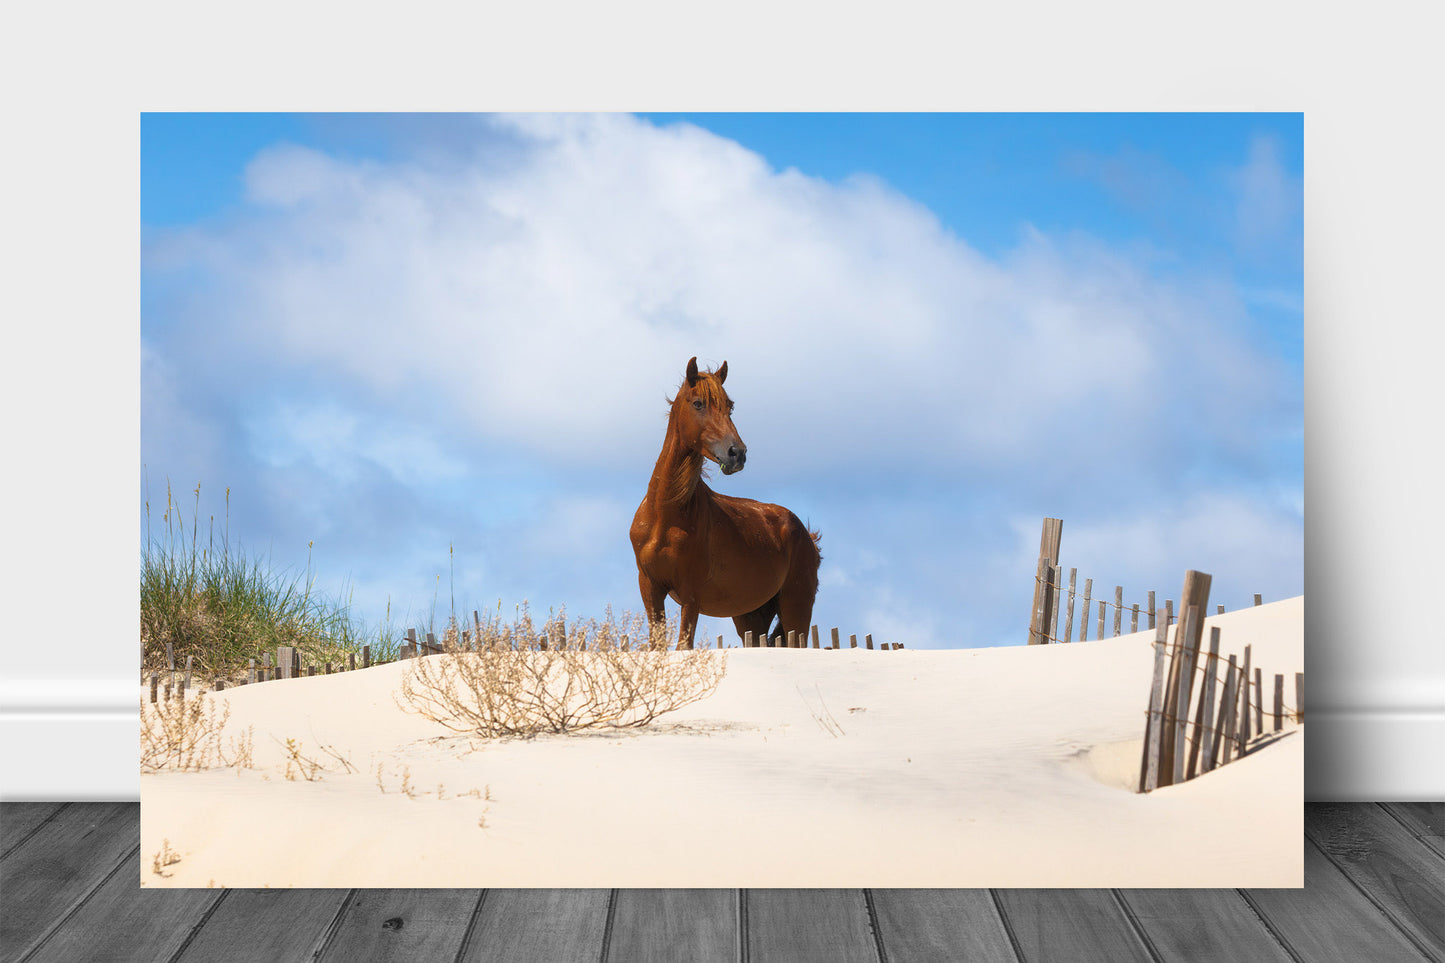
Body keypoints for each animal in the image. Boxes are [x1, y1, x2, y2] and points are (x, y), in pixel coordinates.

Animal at [630, 357, 821, 649]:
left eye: (729, 406)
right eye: (698, 403)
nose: (737, 453)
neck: (665, 513)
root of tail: (806, 534)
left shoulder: (691, 596)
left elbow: (684, 645)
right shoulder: (650, 588)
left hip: (796, 607)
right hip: (751, 617)